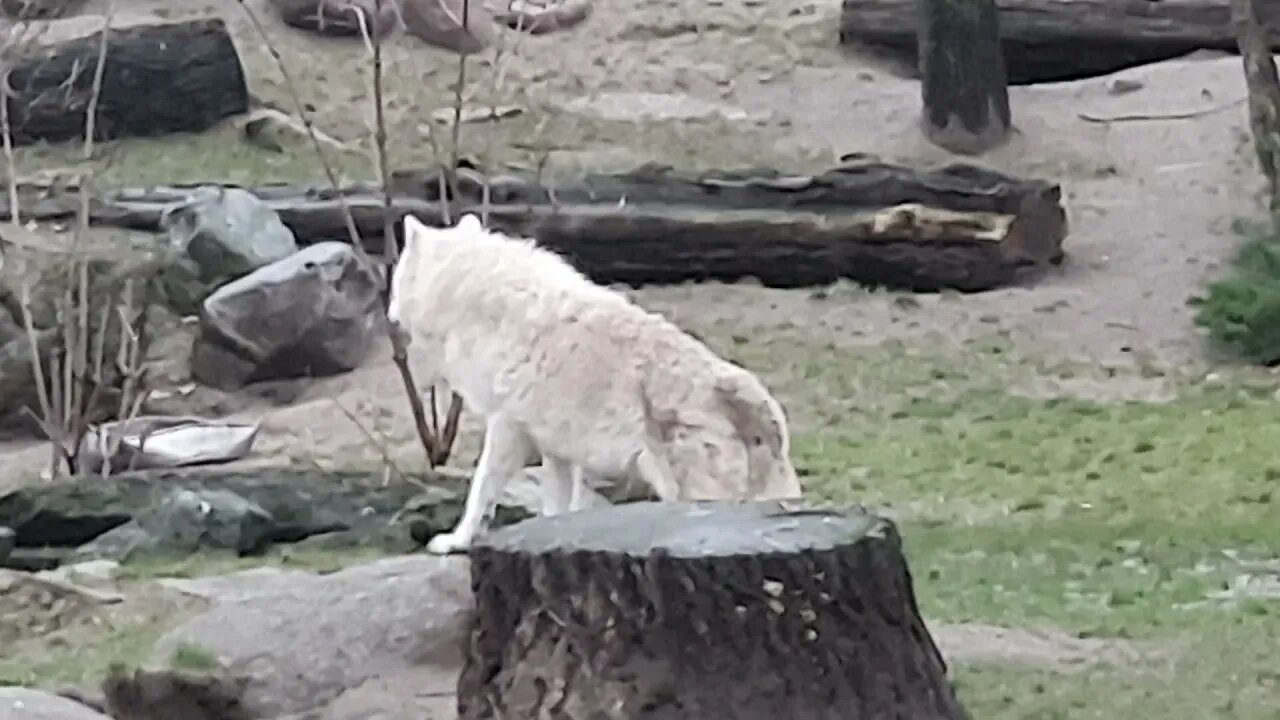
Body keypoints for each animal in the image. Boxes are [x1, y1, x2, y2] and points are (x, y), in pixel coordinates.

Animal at [386, 210, 798, 550]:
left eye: (395, 277)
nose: (388, 315)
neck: (472, 291)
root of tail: (757, 403)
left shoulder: (507, 426)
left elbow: (481, 488)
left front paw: (455, 541)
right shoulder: (556, 447)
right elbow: (556, 507)